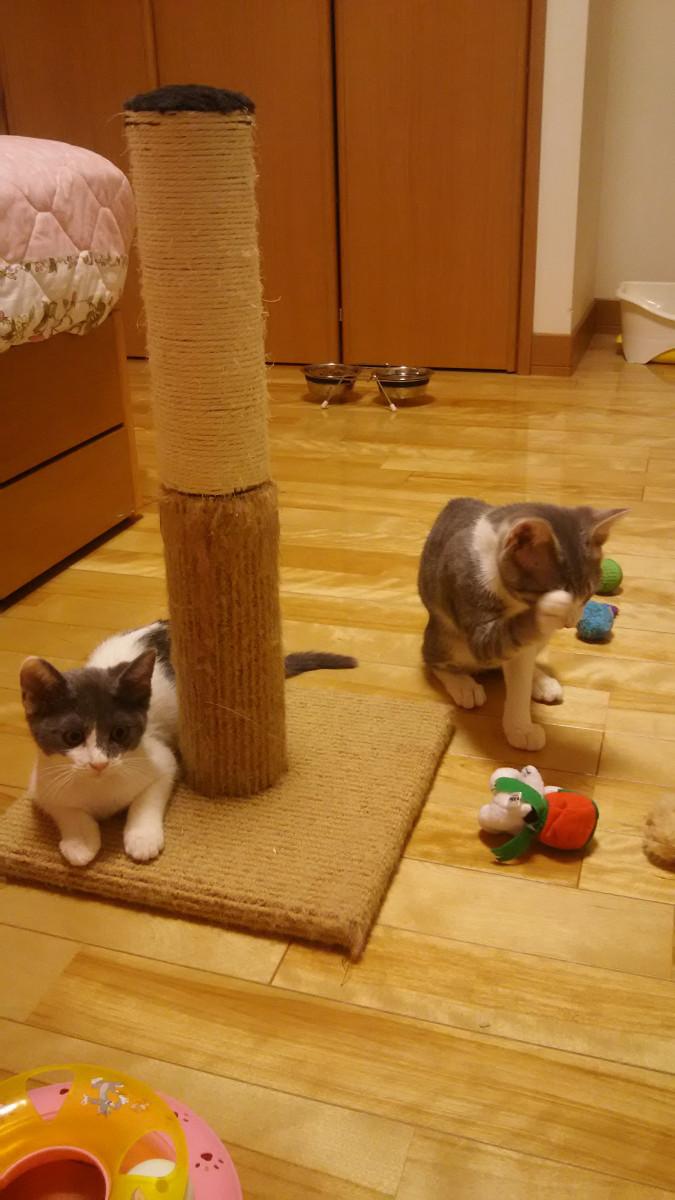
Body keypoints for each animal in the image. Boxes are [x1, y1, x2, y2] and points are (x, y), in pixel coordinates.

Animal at [20, 621, 356, 868]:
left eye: (120, 732)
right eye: (72, 737)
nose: (99, 763)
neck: (100, 789)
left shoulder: (160, 761)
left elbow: (146, 800)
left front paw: (141, 839)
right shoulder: (42, 784)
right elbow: (67, 811)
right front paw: (81, 842)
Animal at [418, 499, 626, 751]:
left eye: (587, 594)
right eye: (551, 591)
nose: (569, 622)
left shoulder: (524, 646)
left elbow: (520, 676)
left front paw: (520, 728)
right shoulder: (467, 590)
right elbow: (507, 635)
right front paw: (549, 607)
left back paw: (541, 681)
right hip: (447, 637)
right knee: (434, 659)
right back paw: (462, 685)